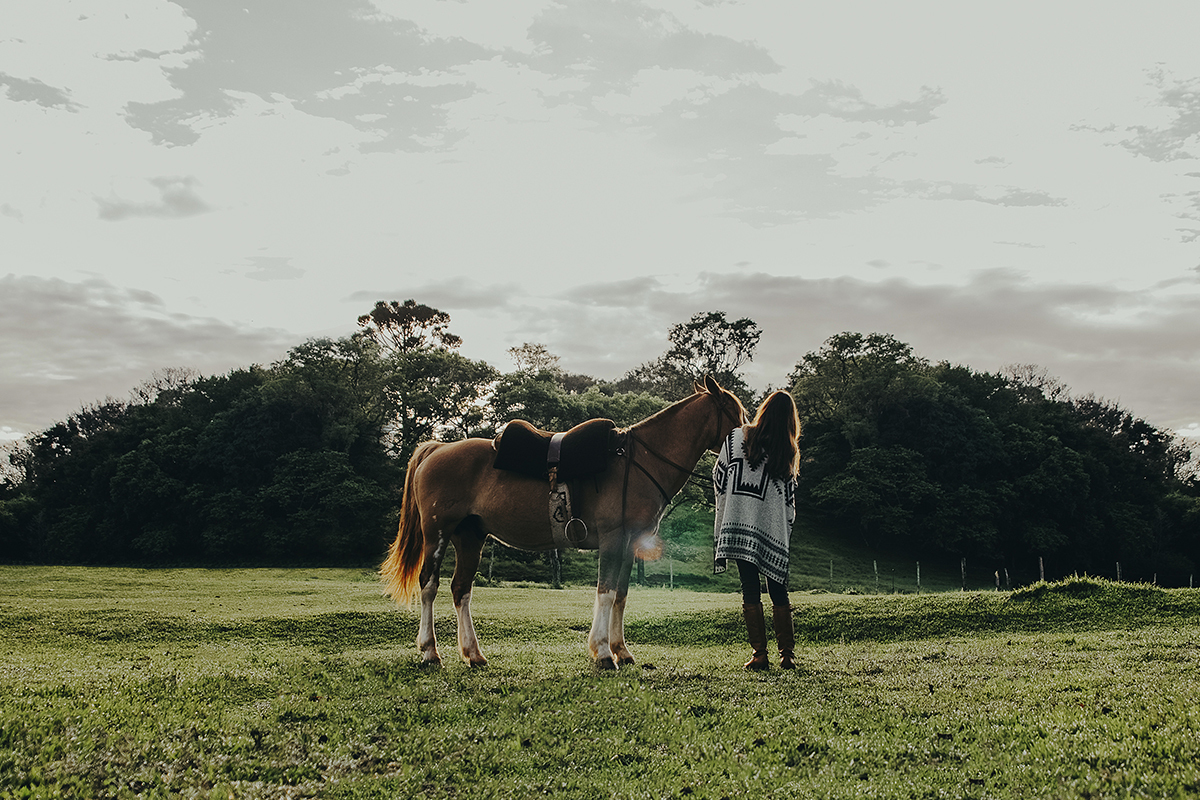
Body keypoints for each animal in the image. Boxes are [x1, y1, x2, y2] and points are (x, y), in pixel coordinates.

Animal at [380, 376, 746, 669]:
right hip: (437, 534)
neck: (636, 461)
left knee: (461, 590)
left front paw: (621, 650)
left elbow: (621, 595)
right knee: (429, 586)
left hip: (470, 537)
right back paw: (430, 651)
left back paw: (473, 653)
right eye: (736, 412)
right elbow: (606, 593)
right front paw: (603, 652)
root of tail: (437, 448)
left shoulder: (630, 544)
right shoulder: (613, 539)